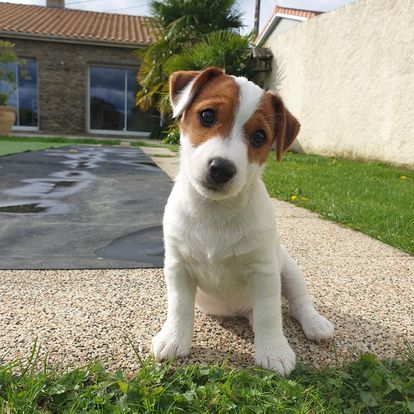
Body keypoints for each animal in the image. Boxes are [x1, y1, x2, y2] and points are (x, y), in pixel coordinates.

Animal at [152, 67, 334, 376]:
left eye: (259, 137)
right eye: (207, 116)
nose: (221, 168)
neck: (215, 211)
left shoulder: (264, 272)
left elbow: (270, 316)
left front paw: (274, 351)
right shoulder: (178, 266)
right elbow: (179, 306)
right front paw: (174, 339)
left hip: (290, 271)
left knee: (296, 304)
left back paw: (315, 324)